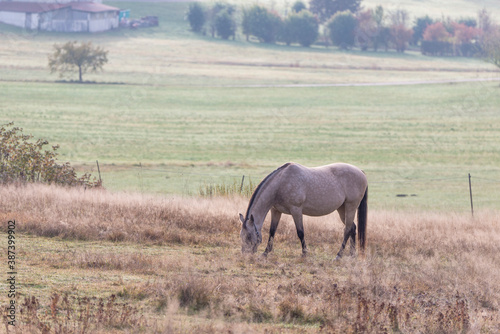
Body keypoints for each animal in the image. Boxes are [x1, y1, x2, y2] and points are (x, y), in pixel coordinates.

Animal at [238, 162, 368, 258]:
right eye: (241, 235)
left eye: (249, 236)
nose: (245, 255)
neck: (281, 183)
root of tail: (360, 172)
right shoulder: (276, 211)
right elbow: (272, 231)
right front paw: (265, 253)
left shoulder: (296, 210)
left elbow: (300, 232)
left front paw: (304, 253)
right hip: (342, 209)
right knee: (352, 228)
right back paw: (352, 254)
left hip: (351, 206)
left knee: (347, 230)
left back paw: (339, 255)